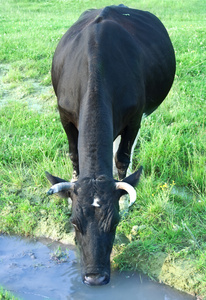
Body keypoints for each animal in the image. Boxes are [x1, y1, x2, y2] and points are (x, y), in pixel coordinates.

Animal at [45, 5, 175, 286]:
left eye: (114, 222)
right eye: (74, 223)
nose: (95, 278)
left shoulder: (135, 117)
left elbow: (123, 158)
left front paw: (126, 202)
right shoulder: (64, 116)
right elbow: (74, 155)